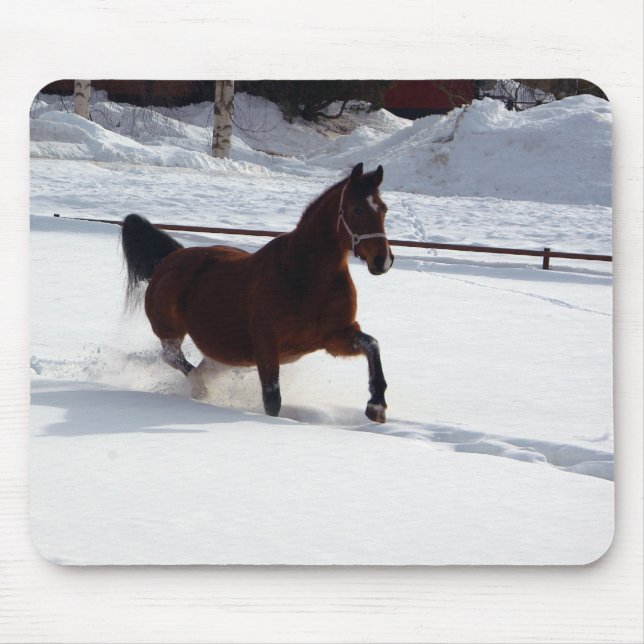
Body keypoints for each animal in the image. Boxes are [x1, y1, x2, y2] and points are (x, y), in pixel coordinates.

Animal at [121, 162, 394, 422]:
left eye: (383, 209)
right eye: (357, 209)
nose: (382, 261)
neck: (307, 277)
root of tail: (171, 257)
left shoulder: (335, 338)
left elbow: (373, 345)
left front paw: (376, 407)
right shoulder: (267, 346)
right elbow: (272, 401)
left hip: (226, 351)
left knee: (203, 366)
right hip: (170, 333)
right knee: (174, 359)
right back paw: (200, 389)